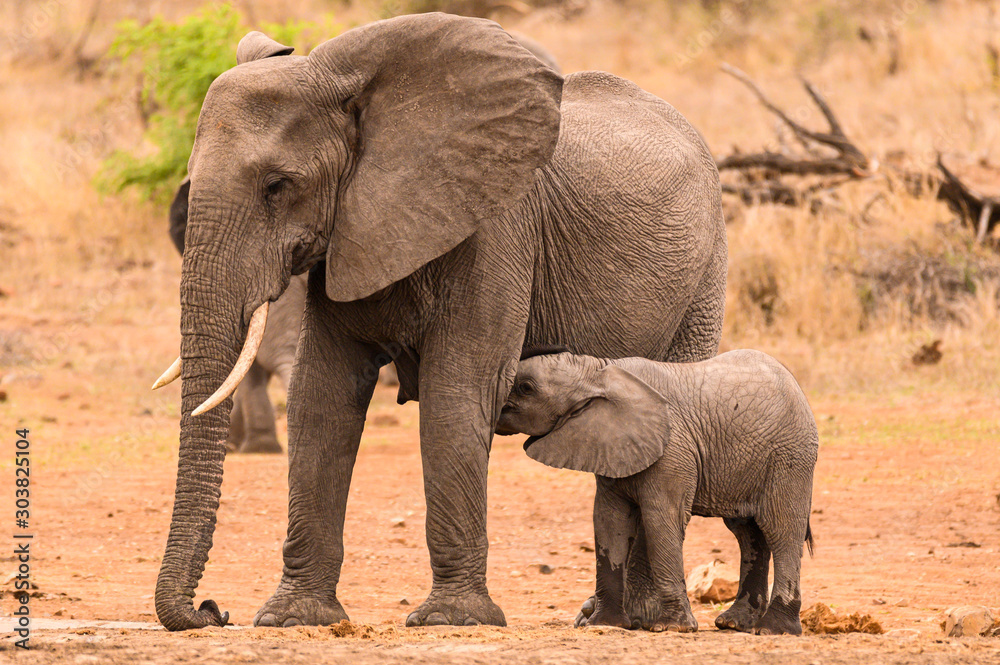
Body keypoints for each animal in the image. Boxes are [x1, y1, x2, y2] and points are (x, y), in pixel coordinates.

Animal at [150, 13, 728, 632]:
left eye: (276, 185)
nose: (213, 610)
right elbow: (321, 395)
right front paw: (294, 618)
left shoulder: (496, 226)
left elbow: (458, 392)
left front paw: (453, 619)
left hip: (705, 272)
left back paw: (645, 619)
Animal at [496, 348, 816, 632]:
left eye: (525, 388)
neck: (597, 371)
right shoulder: (611, 446)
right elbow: (609, 522)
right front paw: (603, 624)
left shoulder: (672, 450)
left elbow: (662, 520)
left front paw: (673, 628)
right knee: (748, 533)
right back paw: (734, 624)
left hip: (790, 458)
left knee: (782, 529)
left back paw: (773, 629)